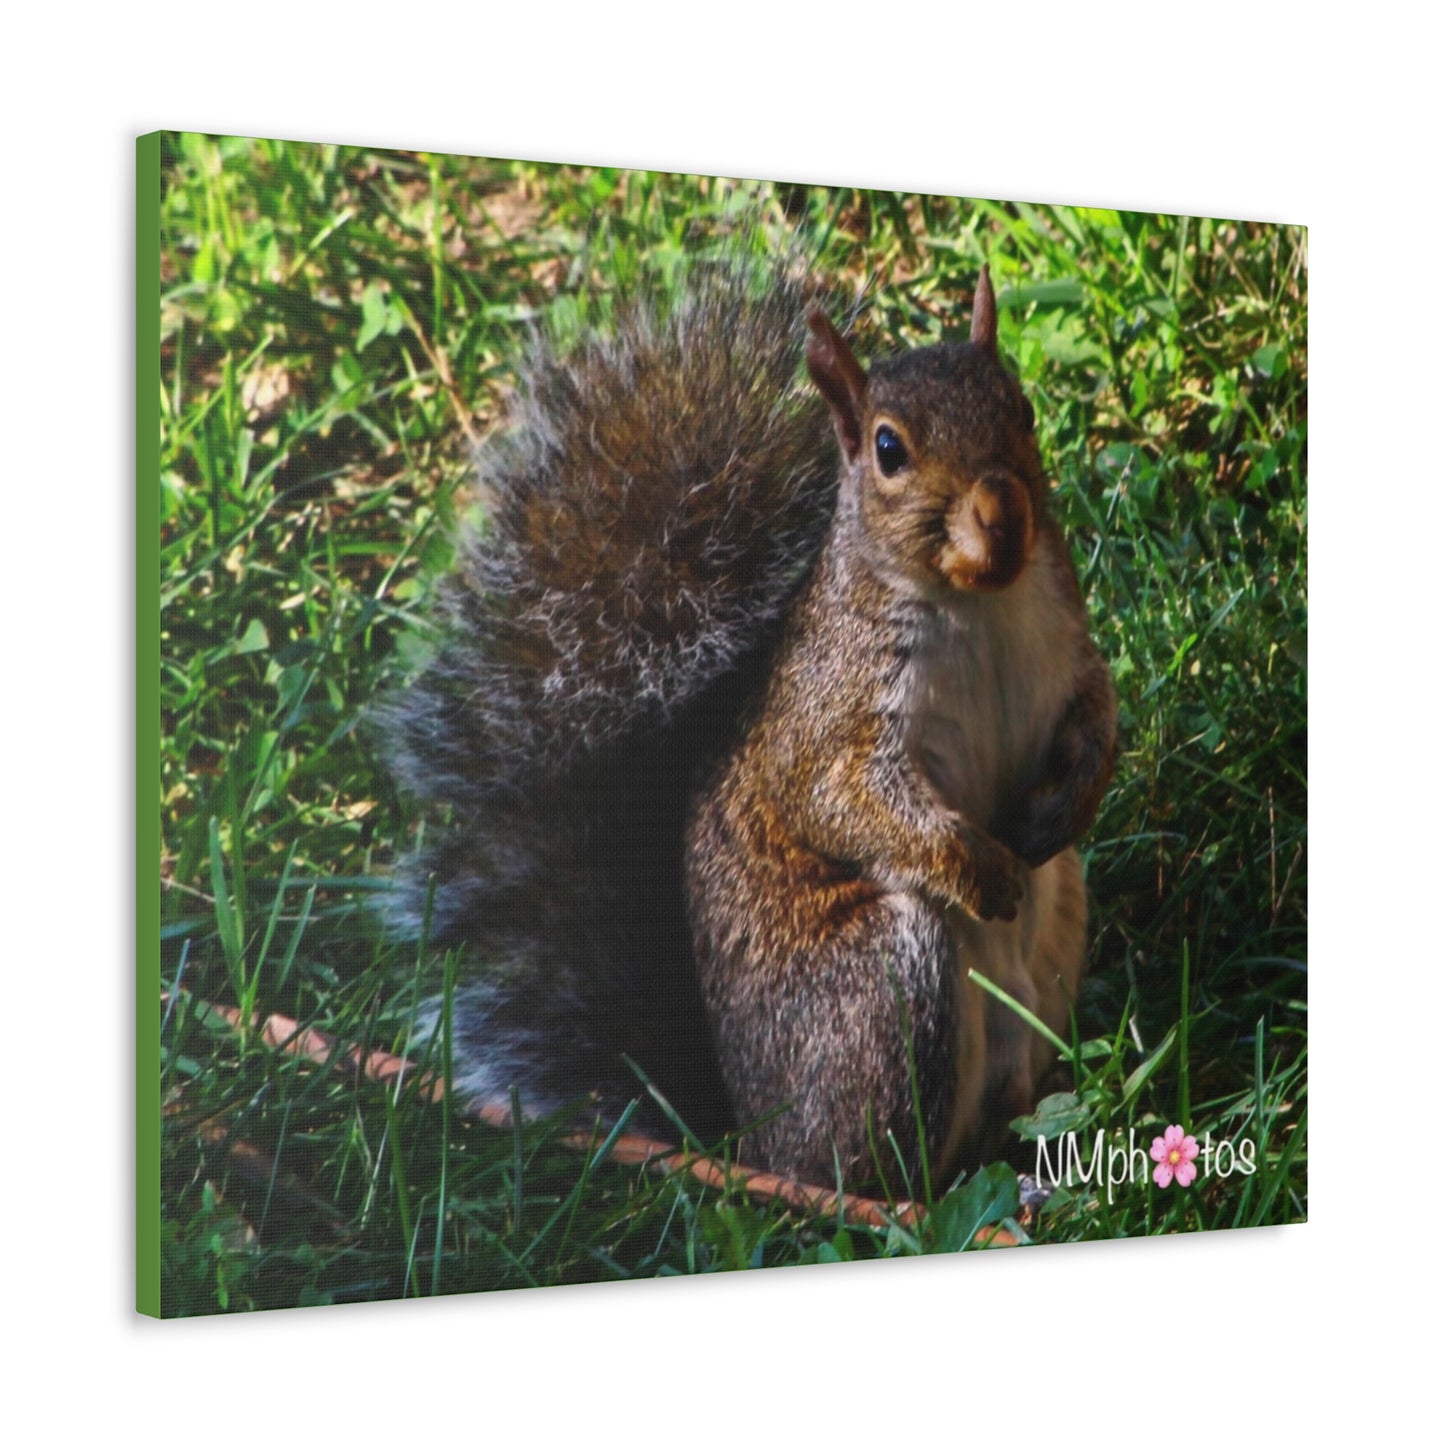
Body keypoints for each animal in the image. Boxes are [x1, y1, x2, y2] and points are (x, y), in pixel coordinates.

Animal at [383, 250, 1116, 1194]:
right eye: (888, 449)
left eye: (1021, 408)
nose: (1003, 513)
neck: (978, 603)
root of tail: (751, 1144)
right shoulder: (828, 718)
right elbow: (844, 803)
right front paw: (979, 869)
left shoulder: (1066, 650)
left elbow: (1098, 714)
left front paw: (1070, 800)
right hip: (880, 984)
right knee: (878, 1174)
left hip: (1056, 931)